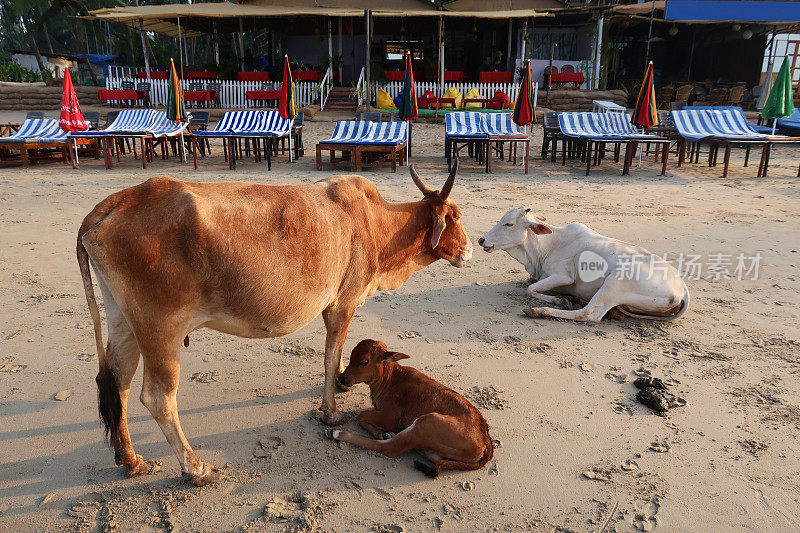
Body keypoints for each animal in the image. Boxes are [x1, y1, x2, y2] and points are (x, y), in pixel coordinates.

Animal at [76, 164, 472, 484]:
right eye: (455, 215)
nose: (469, 249)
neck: (376, 224)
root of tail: (112, 203)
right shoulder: (342, 304)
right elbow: (331, 355)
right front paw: (330, 412)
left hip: (124, 321)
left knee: (118, 382)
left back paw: (130, 460)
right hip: (162, 331)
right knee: (158, 398)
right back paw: (196, 469)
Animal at [326, 338, 494, 476]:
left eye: (363, 362)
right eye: (351, 357)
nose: (342, 379)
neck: (390, 378)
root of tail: (485, 439)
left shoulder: (391, 418)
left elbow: (361, 416)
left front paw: (381, 432)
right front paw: (381, 432)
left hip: (426, 422)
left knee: (388, 448)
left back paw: (335, 433)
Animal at [478, 209, 692, 322]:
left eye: (509, 224)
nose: (482, 240)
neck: (548, 244)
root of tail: (682, 288)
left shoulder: (563, 276)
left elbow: (530, 289)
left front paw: (559, 300)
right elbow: (531, 284)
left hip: (614, 282)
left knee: (588, 314)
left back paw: (540, 310)